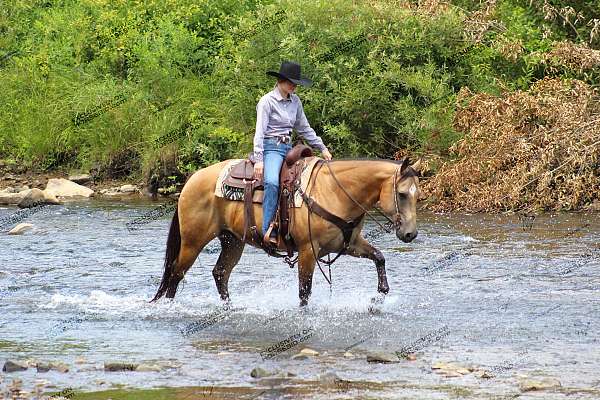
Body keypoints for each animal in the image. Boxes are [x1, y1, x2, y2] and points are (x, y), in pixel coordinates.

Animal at [150, 156, 422, 306]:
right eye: (401, 194)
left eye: (417, 194)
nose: (410, 234)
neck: (334, 191)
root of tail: (192, 178)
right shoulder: (308, 250)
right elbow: (304, 291)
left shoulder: (349, 244)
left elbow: (379, 257)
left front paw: (380, 295)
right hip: (193, 242)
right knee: (176, 273)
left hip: (233, 241)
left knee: (220, 273)